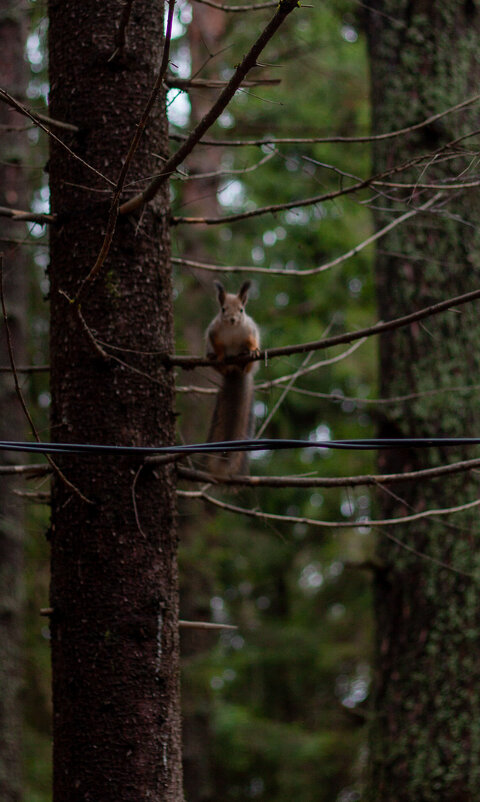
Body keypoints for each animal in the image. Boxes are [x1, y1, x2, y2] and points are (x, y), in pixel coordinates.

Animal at [204, 280, 260, 476]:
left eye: (241, 310)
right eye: (223, 309)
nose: (232, 319)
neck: (233, 329)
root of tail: (235, 372)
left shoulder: (249, 330)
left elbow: (252, 341)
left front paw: (253, 350)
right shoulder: (213, 333)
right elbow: (219, 346)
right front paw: (220, 356)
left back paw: (245, 360)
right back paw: (213, 359)